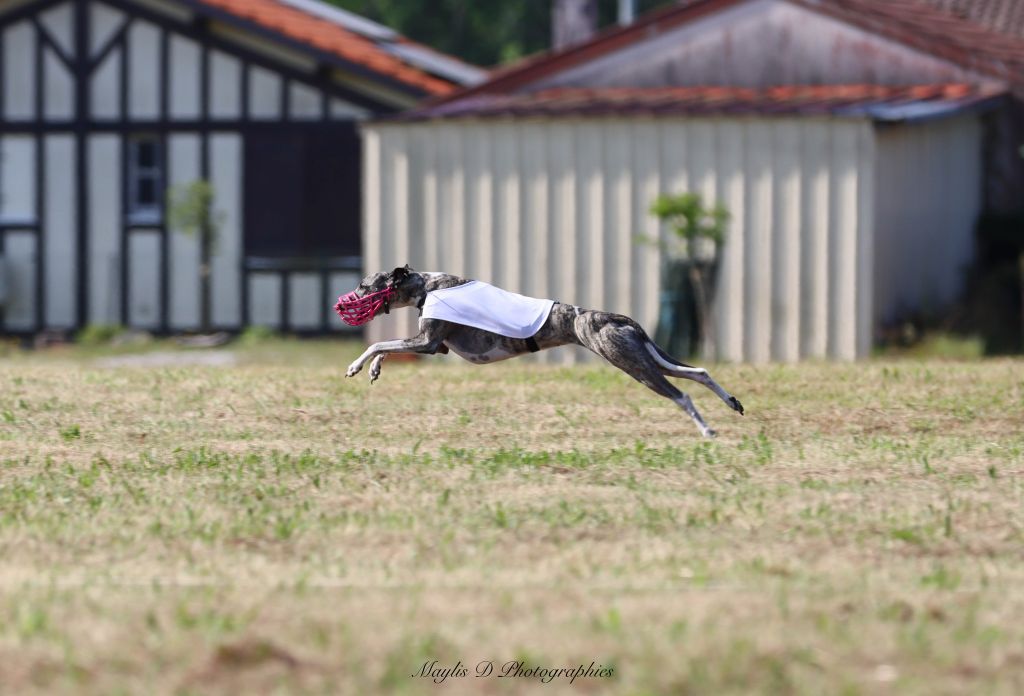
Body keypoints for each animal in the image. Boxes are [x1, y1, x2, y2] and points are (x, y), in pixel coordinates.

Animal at [337, 264, 745, 438]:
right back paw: (732, 403)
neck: (427, 286)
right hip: (645, 358)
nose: (343, 302)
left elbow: (377, 343)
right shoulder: (432, 347)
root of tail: (616, 317)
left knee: (682, 394)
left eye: (364, 285)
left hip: (633, 365)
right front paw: (373, 370)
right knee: (699, 372)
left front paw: (356, 366)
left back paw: (708, 430)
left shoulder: (428, 342)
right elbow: (386, 349)